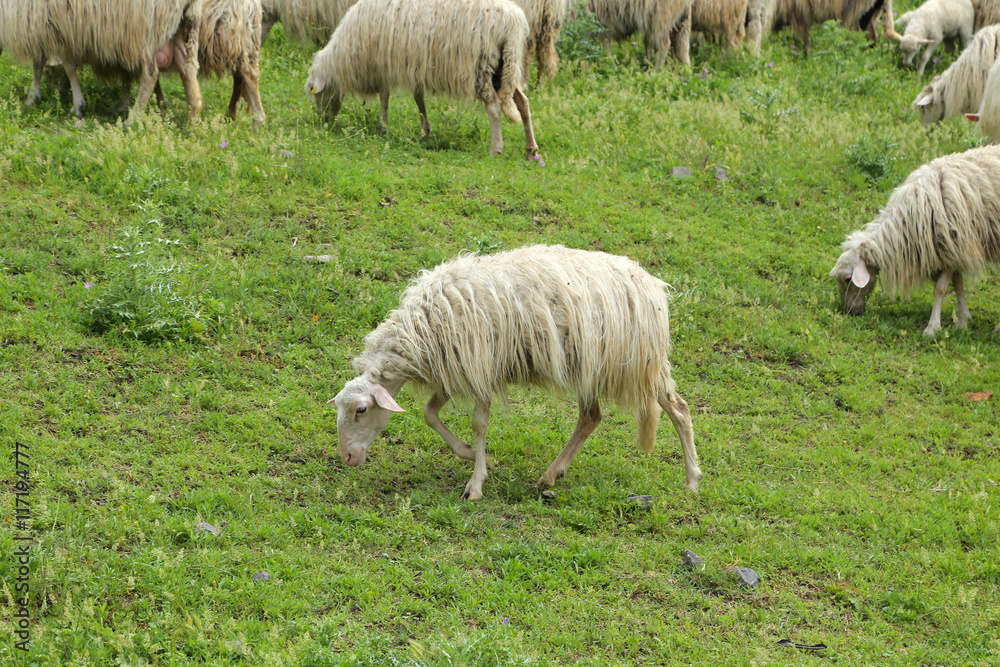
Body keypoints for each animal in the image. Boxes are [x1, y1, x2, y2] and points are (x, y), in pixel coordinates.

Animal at [304, 0, 541, 160]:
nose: (324, 121)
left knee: (494, 107)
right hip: (505, 66)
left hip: (481, 66)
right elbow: (419, 99)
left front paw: (383, 127)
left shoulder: (384, 66)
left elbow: (384, 98)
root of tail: (513, 22)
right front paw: (425, 130)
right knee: (523, 102)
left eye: (316, 93)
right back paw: (531, 149)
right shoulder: (415, 67)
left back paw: (496, 149)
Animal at [329, 245, 702, 500]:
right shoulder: (455, 367)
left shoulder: (480, 368)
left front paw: (476, 481)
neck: (420, 331)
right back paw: (551, 475)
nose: (347, 457)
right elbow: (430, 414)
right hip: (590, 368)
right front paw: (471, 453)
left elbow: (478, 425)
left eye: (361, 409)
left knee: (679, 409)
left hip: (640, 365)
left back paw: (692, 479)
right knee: (591, 417)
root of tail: (651, 284)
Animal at [830, 145, 1000, 336]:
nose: (850, 312)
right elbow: (958, 284)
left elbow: (940, 288)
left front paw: (932, 328)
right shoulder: (953, 249)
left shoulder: (952, 244)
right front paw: (963, 321)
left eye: (847, 279)